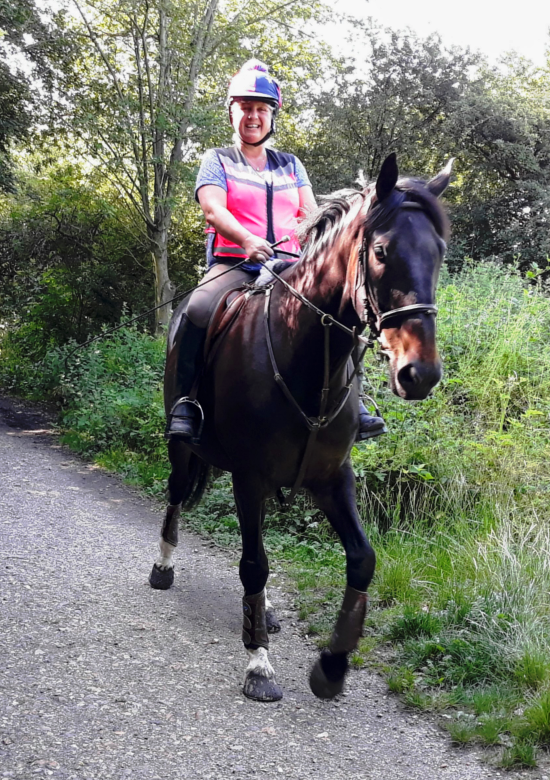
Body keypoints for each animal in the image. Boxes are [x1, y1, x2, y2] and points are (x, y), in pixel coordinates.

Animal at [150, 152, 452, 700]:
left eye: (439, 252)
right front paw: (259, 665)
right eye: (381, 250)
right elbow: (254, 563)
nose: (419, 374)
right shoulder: (250, 476)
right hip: (184, 449)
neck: (303, 355)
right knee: (178, 494)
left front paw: (332, 664)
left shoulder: (331, 477)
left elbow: (362, 559)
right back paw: (164, 567)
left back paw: (267, 610)